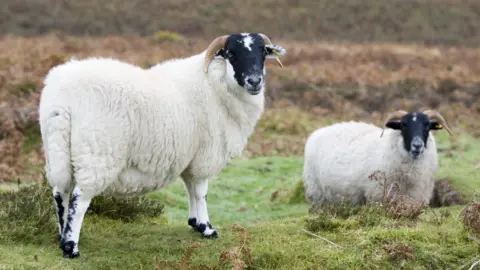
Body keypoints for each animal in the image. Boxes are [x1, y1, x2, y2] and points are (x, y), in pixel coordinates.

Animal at [38, 32, 284, 258]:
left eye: (263, 52)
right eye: (231, 54)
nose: (254, 81)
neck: (215, 84)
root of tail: (61, 100)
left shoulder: (190, 156)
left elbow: (190, 188)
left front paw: (194, 222)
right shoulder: (205, 155)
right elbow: (201, 192)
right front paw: (207, 228)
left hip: (57, 148)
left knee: (60, 193)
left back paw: (62, 236)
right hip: (97, 153)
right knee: (79, 198)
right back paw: (71, 247)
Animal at [302, 109, 452, 207]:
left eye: (427, 126)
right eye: (403, 125)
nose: (417, 145)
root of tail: (317, 132)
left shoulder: (416, 197)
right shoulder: (378, 196)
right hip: (316, 193)